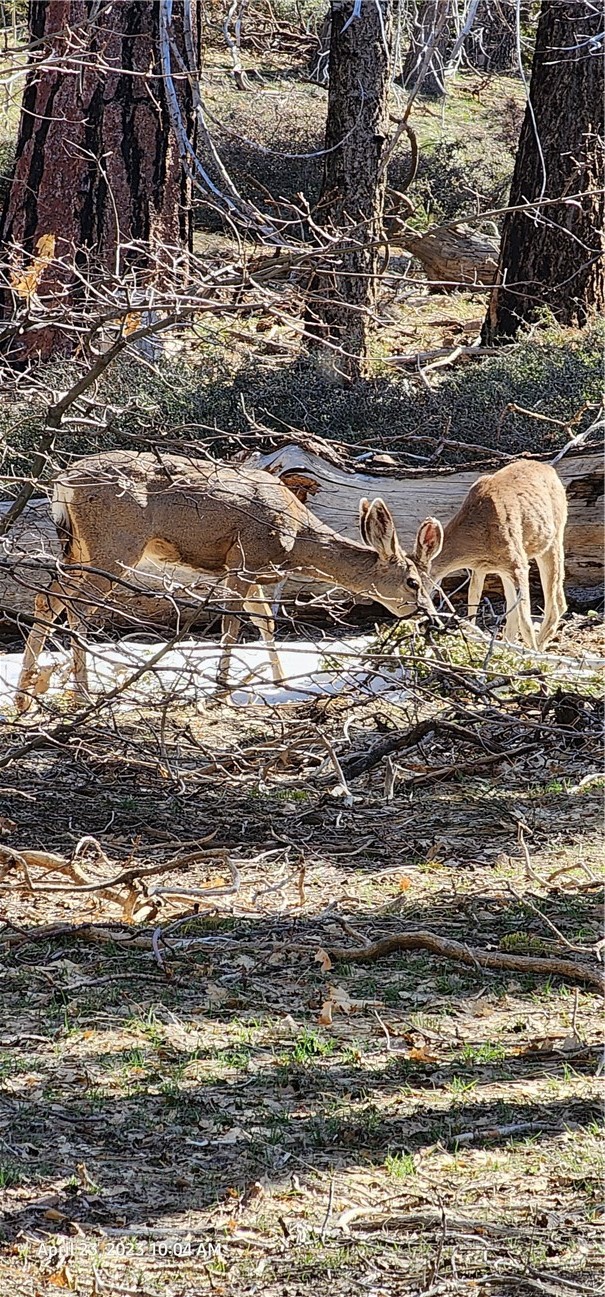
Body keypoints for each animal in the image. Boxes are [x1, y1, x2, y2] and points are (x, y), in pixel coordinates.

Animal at [16, 443, 436, 710]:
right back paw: (82, 695)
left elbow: (265, 622)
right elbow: (231, 625)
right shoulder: (243, 558)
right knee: (75, 605)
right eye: (413, 582)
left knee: (47, 596)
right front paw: (221, 692)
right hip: (115, 545)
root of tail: (62, 484)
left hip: (78, 549)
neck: (295, 538)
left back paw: (25, 697)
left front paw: (281, 684)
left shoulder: (253, 571)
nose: (430, 615)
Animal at [407, 461, 568, 653]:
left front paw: (531, 655)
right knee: (515, 614)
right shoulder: (480, 568)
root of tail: (551, 470)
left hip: (553, 540)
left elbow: (526, 622)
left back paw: (538, 649)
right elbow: (473, 603)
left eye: (413, 582)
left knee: (557, 603)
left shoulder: (517, 562)